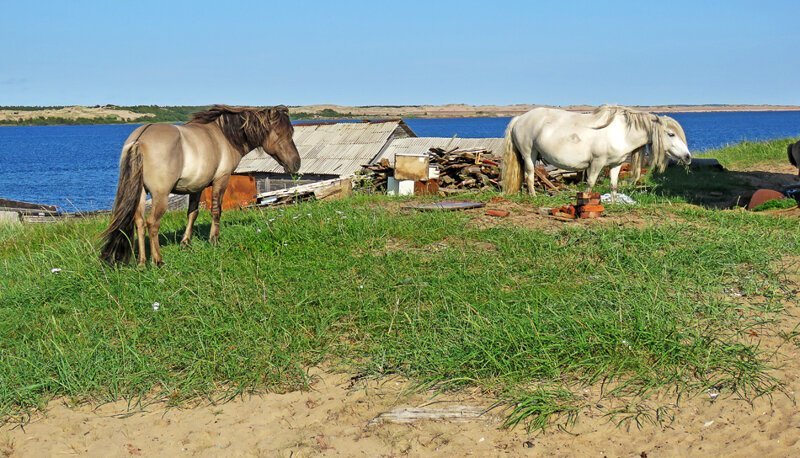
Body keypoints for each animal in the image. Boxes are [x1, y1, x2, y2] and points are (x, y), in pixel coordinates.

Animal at [100, 105, 300, 266]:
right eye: (282, 134)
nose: (296, 164)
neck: (223, 136)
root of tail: (140, 139)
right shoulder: (221, 180)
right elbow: (216, 211)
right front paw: (214, 240)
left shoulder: (195, 188)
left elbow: (192, 213)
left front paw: (185, 243)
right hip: (160, 195)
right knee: (152, 224)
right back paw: (158, 261)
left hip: (140, 193)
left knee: (140, 223)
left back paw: (142, 263)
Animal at [504, 107, 692, 202]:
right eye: (671, 134)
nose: (688, 157)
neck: (621, 132)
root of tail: (520, 118)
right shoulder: (597, 163)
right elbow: (590, 183)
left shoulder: (616, 164)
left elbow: (614, 185)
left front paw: (615, 204)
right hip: (529, 153)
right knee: (529, 174)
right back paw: (533, 196)